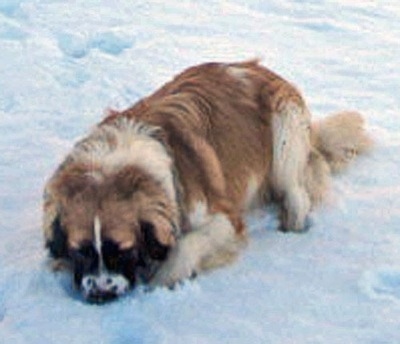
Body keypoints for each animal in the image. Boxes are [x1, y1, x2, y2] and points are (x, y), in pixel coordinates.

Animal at [43, 60, 372, 302]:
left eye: (123, 249)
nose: (100, 295)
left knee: (297, 192)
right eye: (80, 250)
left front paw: (162, 280)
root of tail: (257, 66)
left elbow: (187, 244)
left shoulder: (224, 218)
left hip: (284, 131)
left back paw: (291, 223)